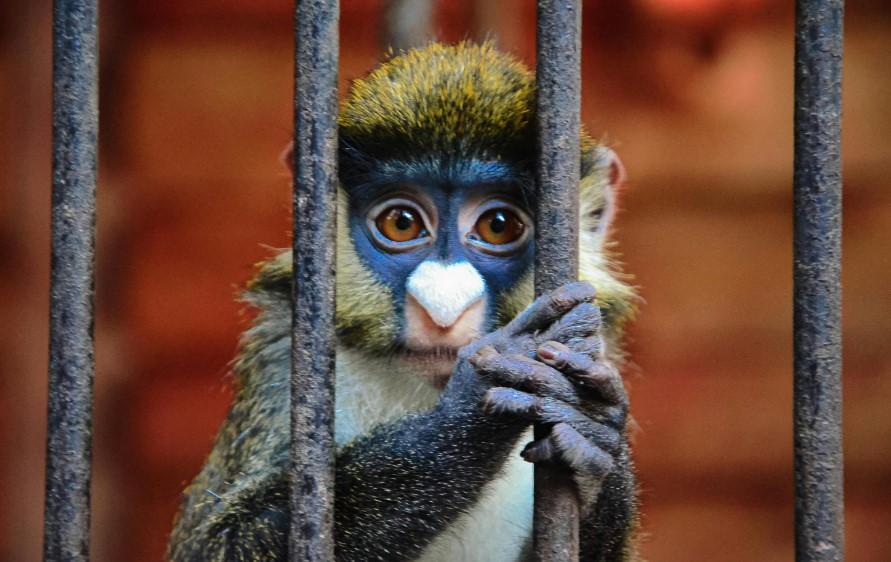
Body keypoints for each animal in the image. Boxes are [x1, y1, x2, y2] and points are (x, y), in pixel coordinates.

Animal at [168, 42, 639, 562]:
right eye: (401, 223)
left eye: (498, 225)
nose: (444, 310)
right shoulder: (279, 359)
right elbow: (217, 542)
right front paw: (471, 410)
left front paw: (595, 433)